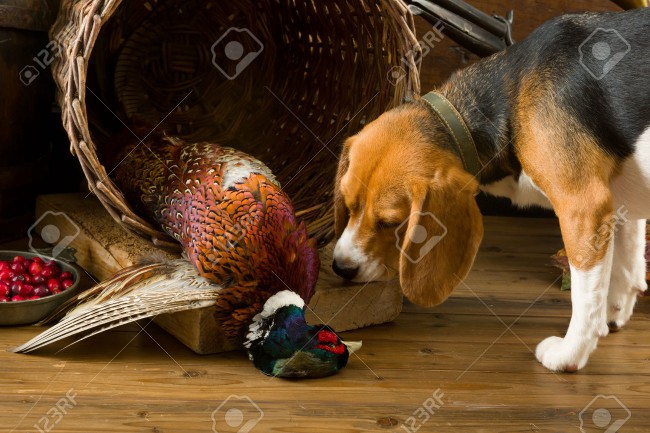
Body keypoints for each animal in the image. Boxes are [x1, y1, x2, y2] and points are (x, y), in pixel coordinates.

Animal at [332, 10, 644, 372]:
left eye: (390, 223)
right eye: (349, 206)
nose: (340, 267)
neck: (506, 97)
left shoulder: (585, 205)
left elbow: (585, 292)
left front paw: (572, 352)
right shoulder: (621, 198)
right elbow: (626, 267)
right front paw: (612, 317)